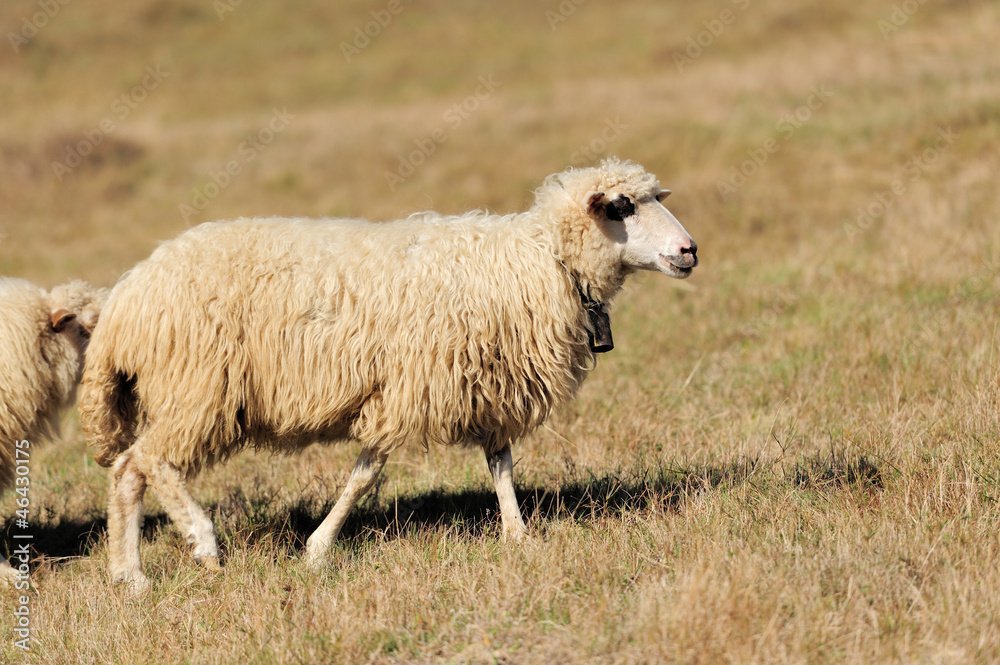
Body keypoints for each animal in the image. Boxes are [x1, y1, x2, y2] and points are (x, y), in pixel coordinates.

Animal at [82, 157, 700, 592]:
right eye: (622, 207)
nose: (689, 250)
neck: (539, 261)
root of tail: (127, 295)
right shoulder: (404, 389)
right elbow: (366, 475)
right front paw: (318, 549)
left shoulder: (487, 384)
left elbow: (500, 464)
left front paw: (518, 535)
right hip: (198, 387)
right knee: (148, 462)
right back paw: (201, 542)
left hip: (191, 392)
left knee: (128, 473)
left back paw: (130, 576)